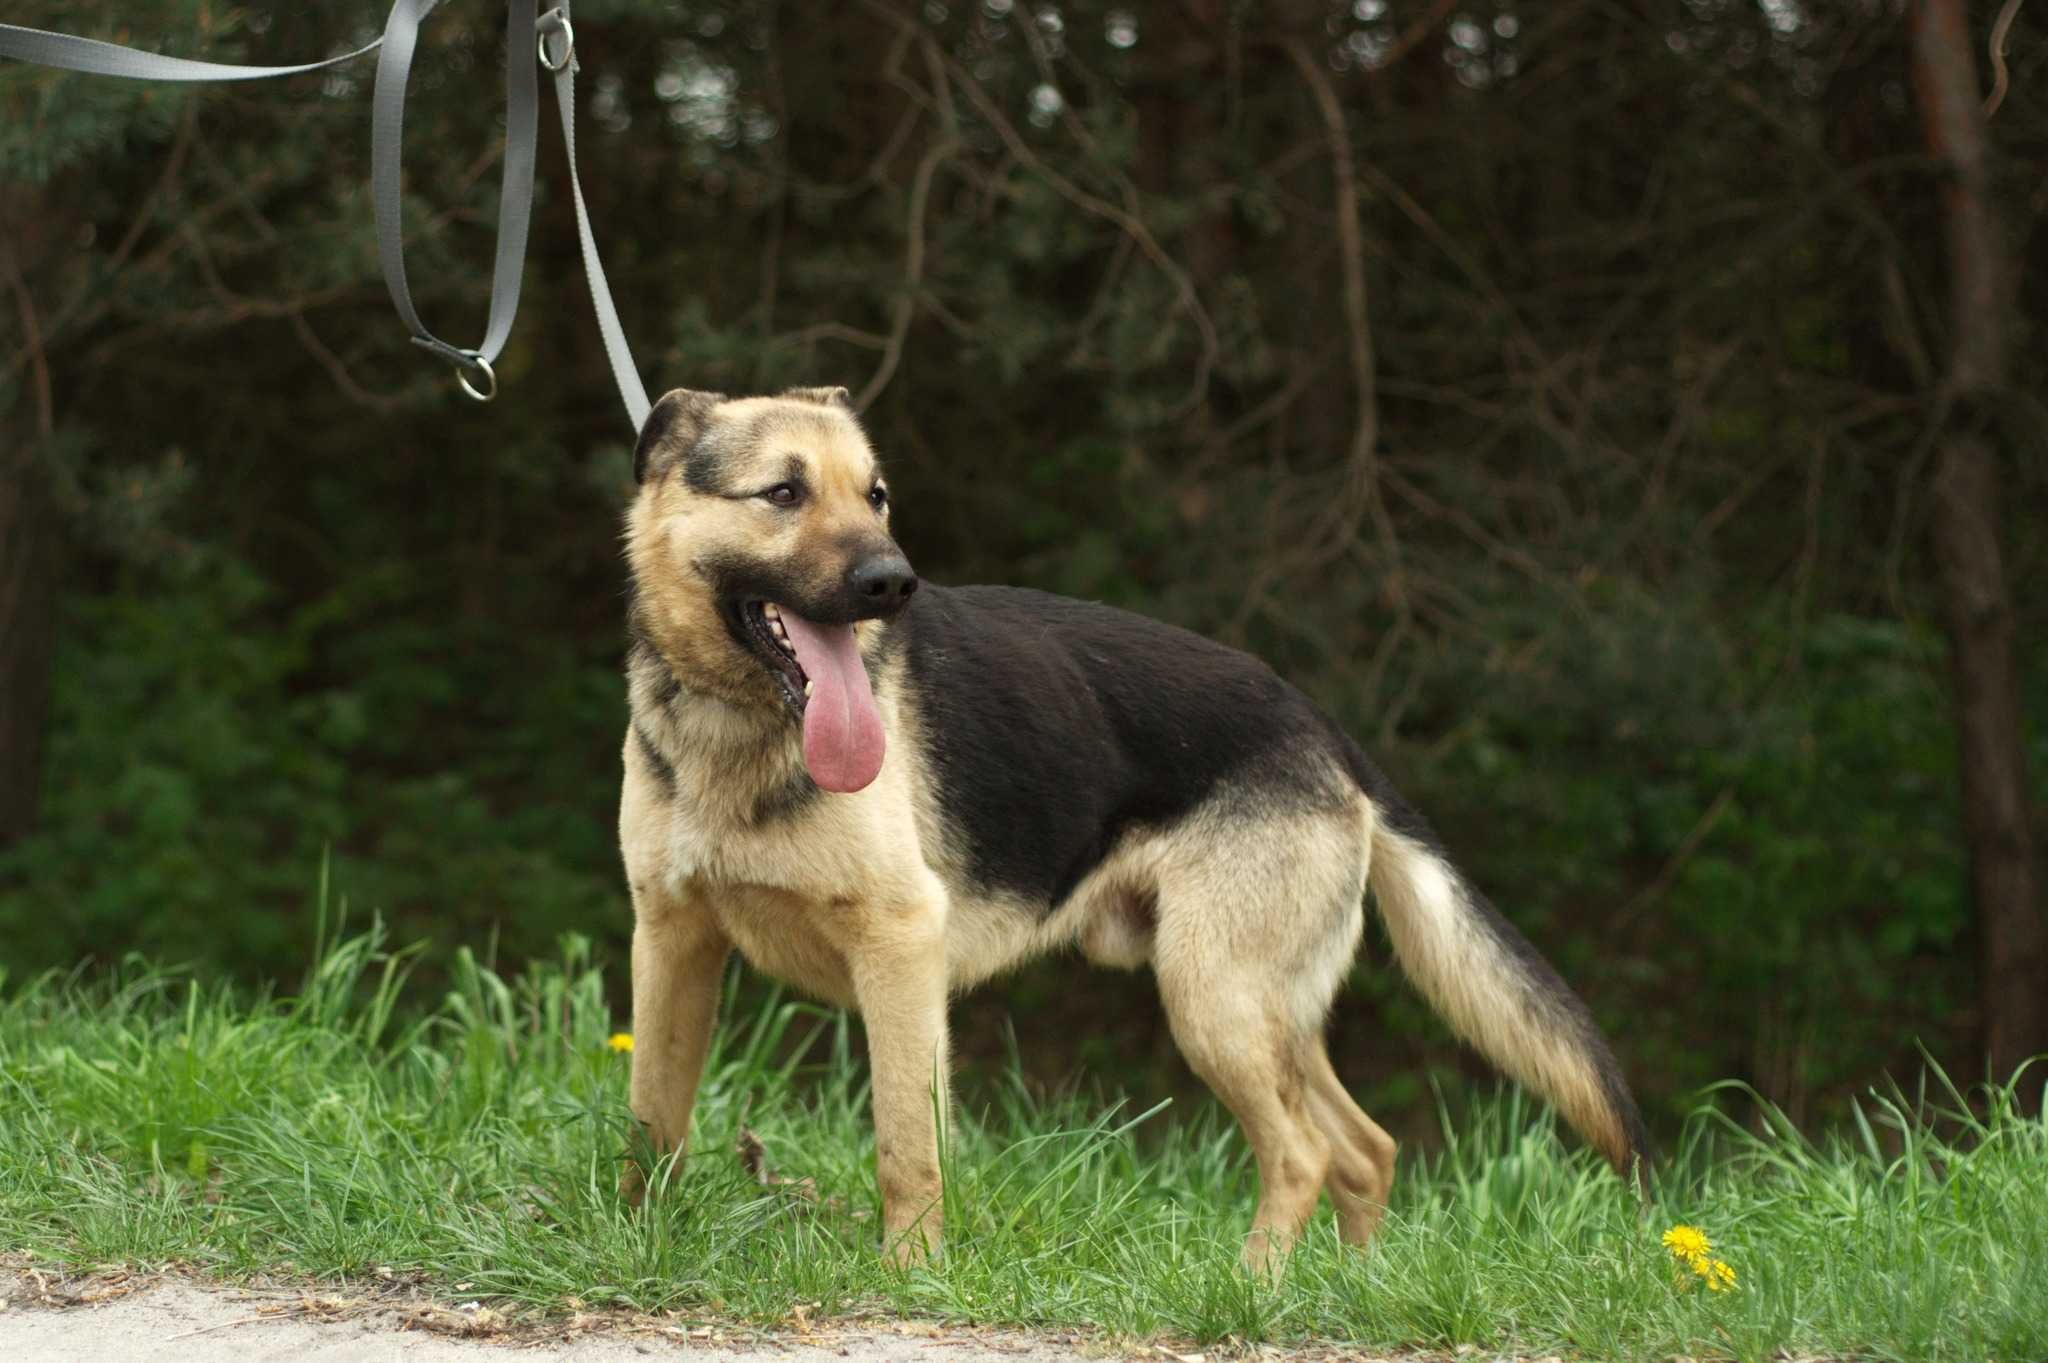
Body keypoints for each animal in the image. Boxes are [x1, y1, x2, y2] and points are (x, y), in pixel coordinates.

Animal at [610, 382, 1646, 1260]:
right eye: (784, 492)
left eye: (876, 497)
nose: (893, 583)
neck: (732, 725)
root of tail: (1325, 728)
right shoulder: (670, 939)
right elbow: (650, 1119)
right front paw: (638, 1242)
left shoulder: (900, 947)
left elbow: (906, 1144)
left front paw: (910, 1272)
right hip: (1260, 1008)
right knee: (1367, 1148)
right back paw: (1357, 1286)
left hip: (1210, 995)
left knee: (1306, 1153)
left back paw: (1252, 1288)